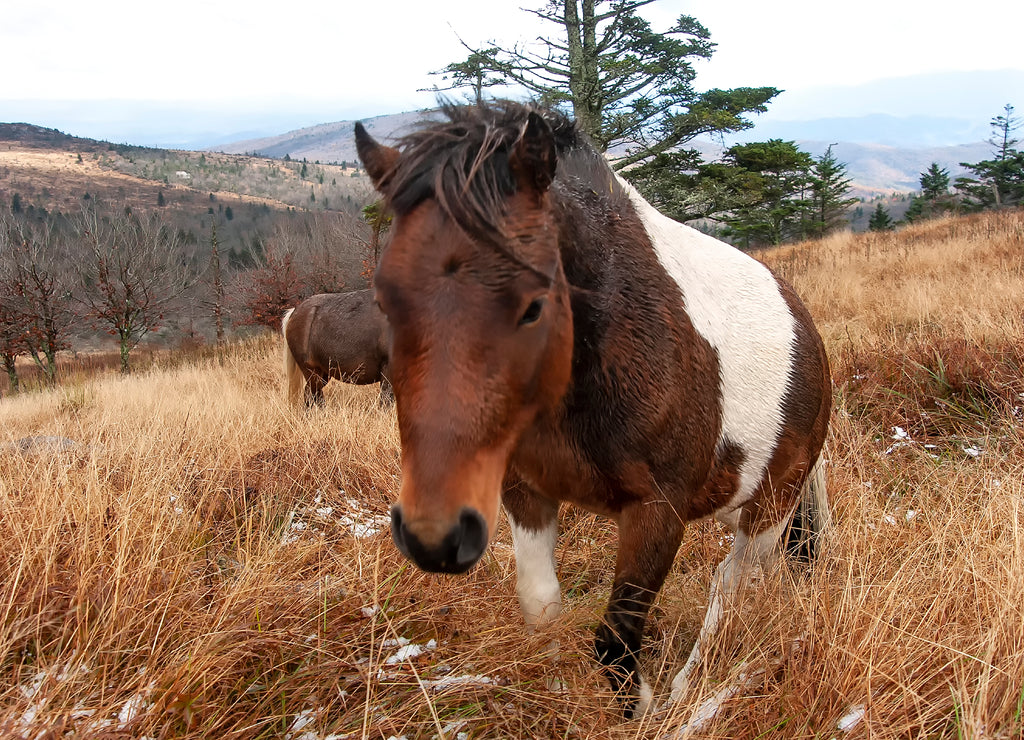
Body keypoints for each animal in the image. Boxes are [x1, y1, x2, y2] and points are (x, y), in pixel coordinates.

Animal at [354, 101, 831, 716]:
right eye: (385, 300)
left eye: (533, 305)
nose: (434, 536)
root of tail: (807, 329)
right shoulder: (525, 492)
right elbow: (541, 606)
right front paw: (558, 691)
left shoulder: (657, 511)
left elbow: (617, 632)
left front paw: (641, 709)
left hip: (772, 501)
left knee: (735, 583)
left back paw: (692, 688)